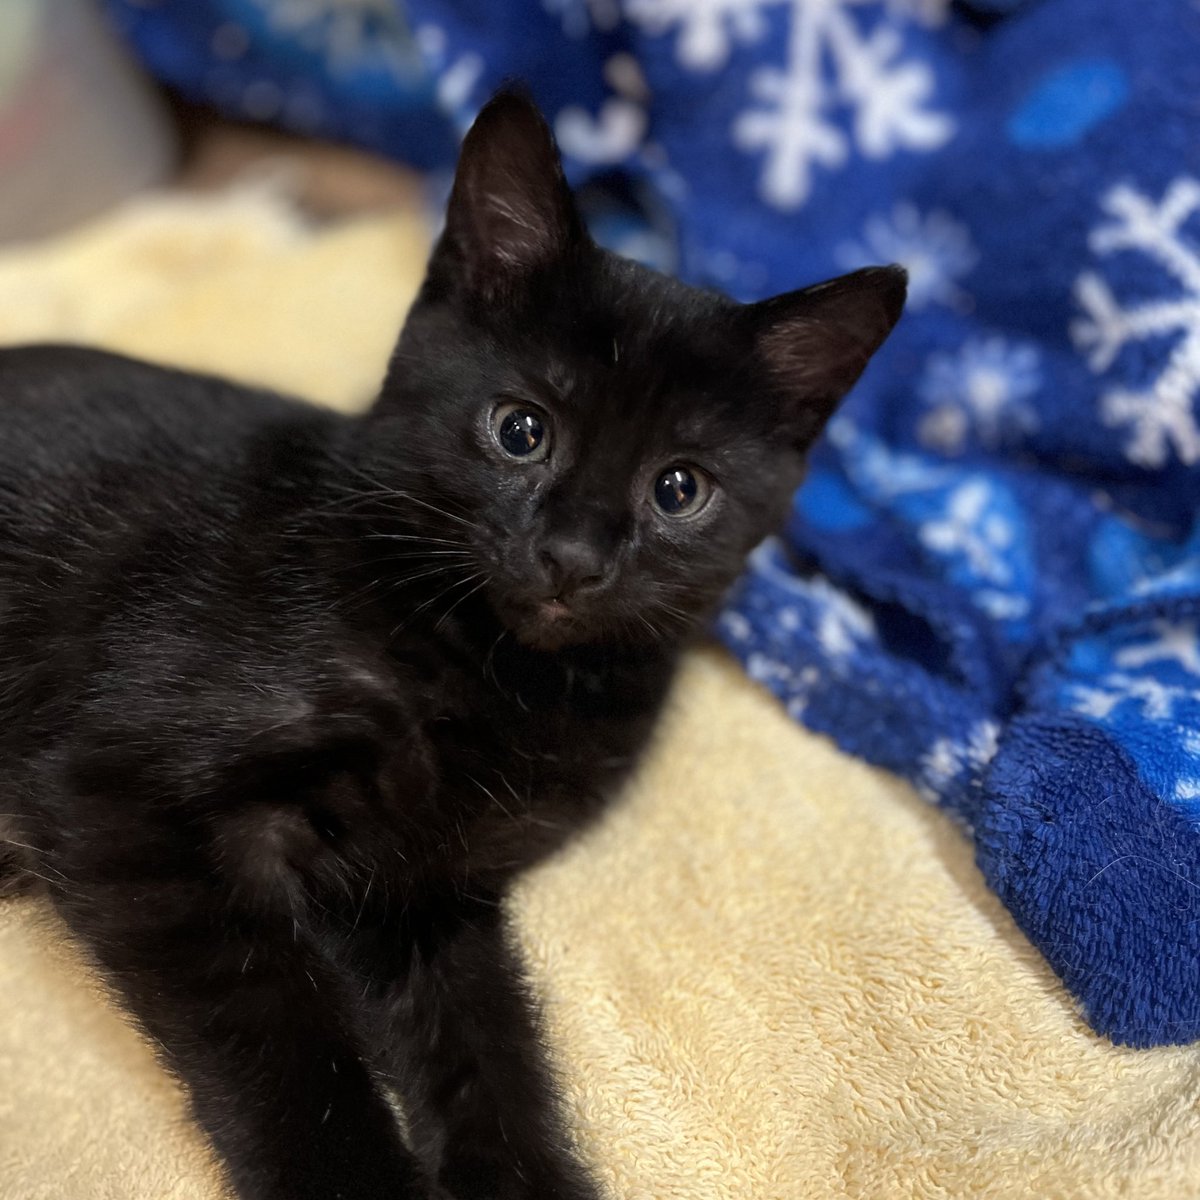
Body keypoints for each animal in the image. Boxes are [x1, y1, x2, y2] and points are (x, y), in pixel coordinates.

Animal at [0, 96, 902, 1200]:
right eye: (521, 431)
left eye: (680, 489)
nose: (573, 558)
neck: (493, 671)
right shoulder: (117, 800)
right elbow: (282, 1032)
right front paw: (355, 1184)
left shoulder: (421, 897)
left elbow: (488, 1048)